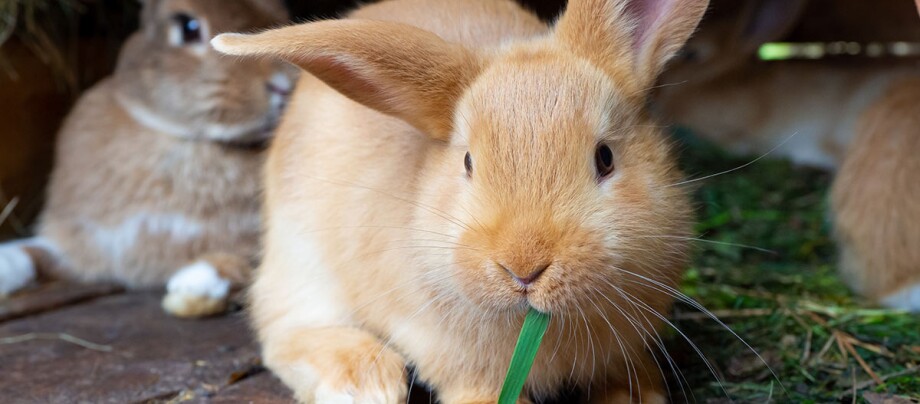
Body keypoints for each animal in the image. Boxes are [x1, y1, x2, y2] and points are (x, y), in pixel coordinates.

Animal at [211, 0, 707, 401]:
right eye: (468, 162)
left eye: (605, 157)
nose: (524, 268)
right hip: (301, 260)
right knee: (286, 331)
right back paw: (364, 383)